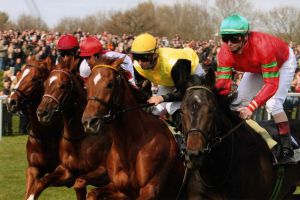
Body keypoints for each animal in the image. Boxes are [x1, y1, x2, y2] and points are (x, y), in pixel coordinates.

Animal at [27, 56, 110, 200]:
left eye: (62, 86)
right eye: (44, 84)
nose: (42, 113)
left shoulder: (104, 172)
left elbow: (81, 183)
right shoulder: (66, 172)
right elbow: (41, 182)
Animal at [81, 56, 184, 200]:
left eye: (110, 84)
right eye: (87, 86)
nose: (89, 122)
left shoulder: (150, 189)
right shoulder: (121, 190)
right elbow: (92, 193)